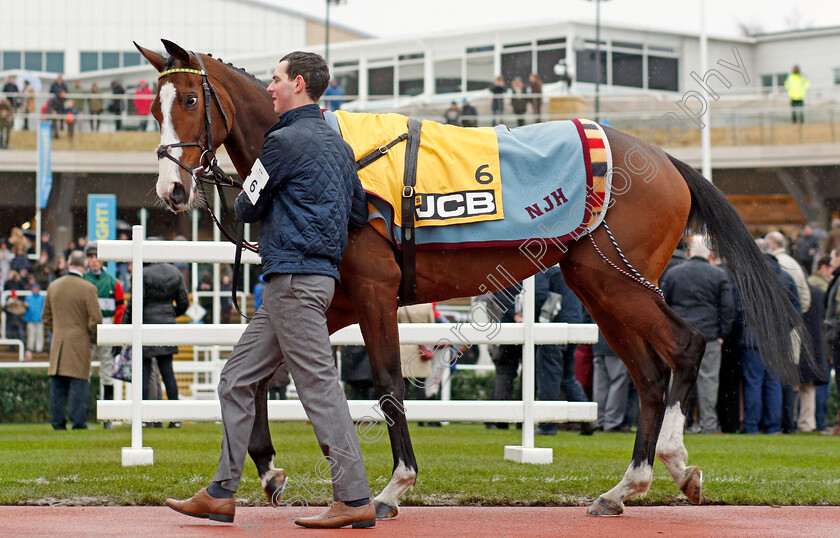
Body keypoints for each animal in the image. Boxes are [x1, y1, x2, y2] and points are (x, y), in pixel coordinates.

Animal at [135, 39, 804, 516]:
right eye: (152, 107)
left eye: (188, 101)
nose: (171, 191)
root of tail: (665, 160)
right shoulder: (338, 297)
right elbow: (260, 375)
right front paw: (269, 467)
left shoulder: (374, 292)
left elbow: (385, 384)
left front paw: (394, 487)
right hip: (599, 288)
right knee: (648, 375)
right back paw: (628, 485)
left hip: (617, 279)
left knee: (686, 345)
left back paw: (671, 459)